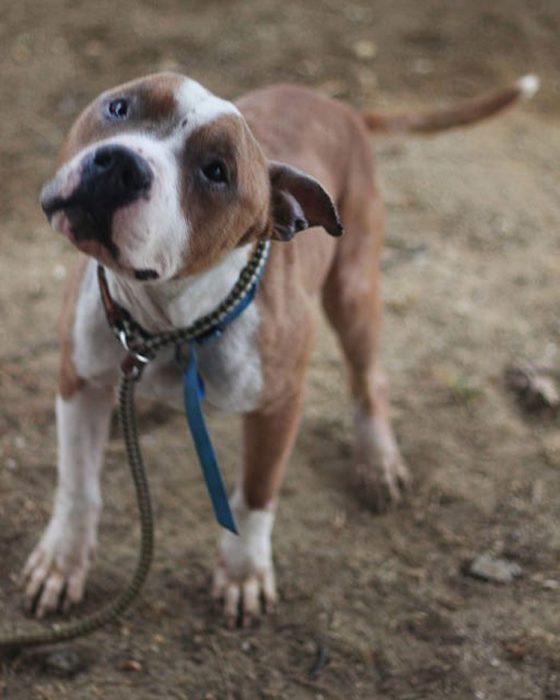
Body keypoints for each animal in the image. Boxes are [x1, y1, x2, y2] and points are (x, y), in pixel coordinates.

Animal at [24, 71, 540, 628]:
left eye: (216, 172)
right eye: (120, 107)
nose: (120, 164)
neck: (169, 320)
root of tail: (341, 108)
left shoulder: (280, 406)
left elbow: (255, 495)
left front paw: (244, 572)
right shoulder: (77, 381)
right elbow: (78, 487)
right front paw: (62, 562)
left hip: (353, 290)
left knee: (369, 377)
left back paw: (377, 460)